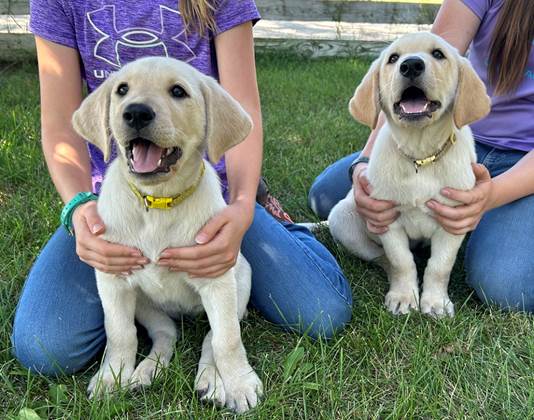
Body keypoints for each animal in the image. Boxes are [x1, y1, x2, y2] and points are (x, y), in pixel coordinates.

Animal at [71, 55, 264, 414]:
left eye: (178, 91)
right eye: (122, 89)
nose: (135, 113)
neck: (158, 203)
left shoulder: (217, 279)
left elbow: (227, 339)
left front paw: (240, 383)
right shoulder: (112, 279)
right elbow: (120, 333)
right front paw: (111, 377)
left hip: (240, 280)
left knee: (210, 338)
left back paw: (211, 380)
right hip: (145, 304)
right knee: (165, 332)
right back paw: (146, 370)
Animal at [330, 32, 494, 316]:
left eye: (438, 54)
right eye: (393, 58)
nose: (411, 65)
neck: (421, 156)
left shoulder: (453, 221)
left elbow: (440, 266)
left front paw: (436, 302)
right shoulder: (386, 218)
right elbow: (401, 261)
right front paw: (404, 296)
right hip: (342, 219)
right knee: (382, 258)